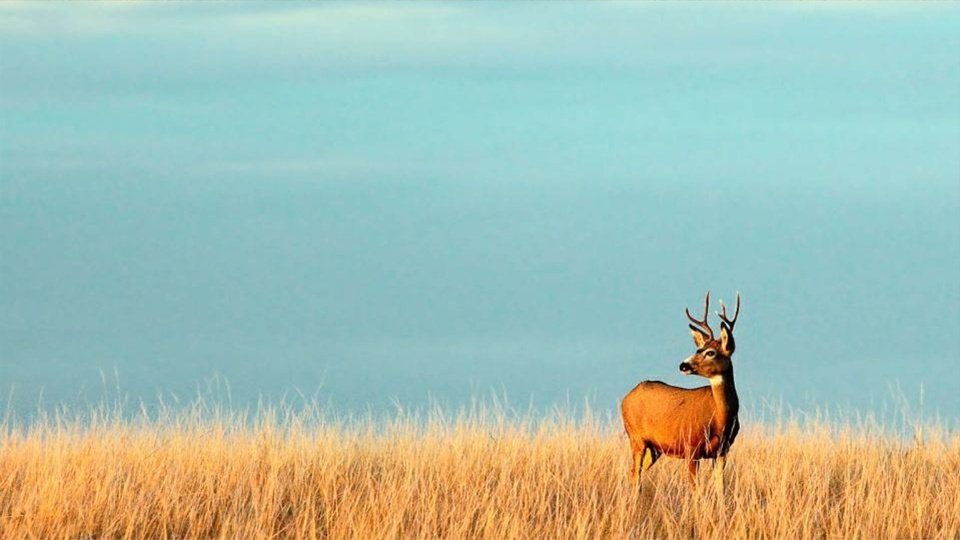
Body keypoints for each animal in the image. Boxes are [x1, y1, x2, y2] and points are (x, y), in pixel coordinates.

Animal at [624, 294, 744, 492]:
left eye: (710, 352)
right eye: (698, 349)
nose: (683, 365)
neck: (720, 420)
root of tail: (625, 398)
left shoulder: (723, 451)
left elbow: (721, 488)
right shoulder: (691, 447)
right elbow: (695, 490)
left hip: (654, 448)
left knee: (633, 474)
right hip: (636, 438)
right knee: (635, 475)